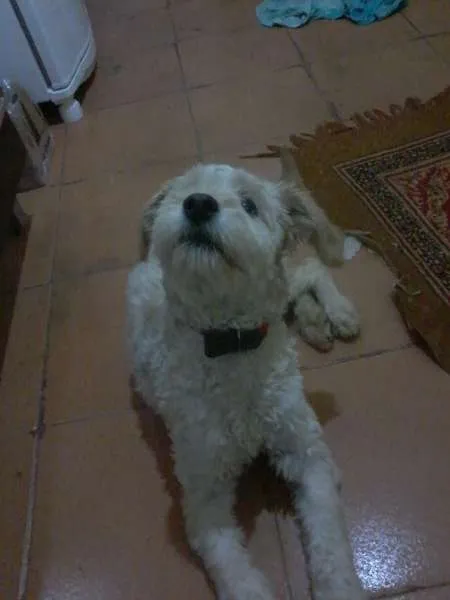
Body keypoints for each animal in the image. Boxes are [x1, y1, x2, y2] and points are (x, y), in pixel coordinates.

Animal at [127, 163, 367, 600]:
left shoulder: (308, 454)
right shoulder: (203, 496)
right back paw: (314, 321)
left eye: (250, 205)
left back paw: (337, 313)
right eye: (185, 192)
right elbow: (234, 569)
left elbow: (329, 539)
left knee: (310, 268)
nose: (198, 204)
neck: (230, 345)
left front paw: (339, 587)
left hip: (276, 284)